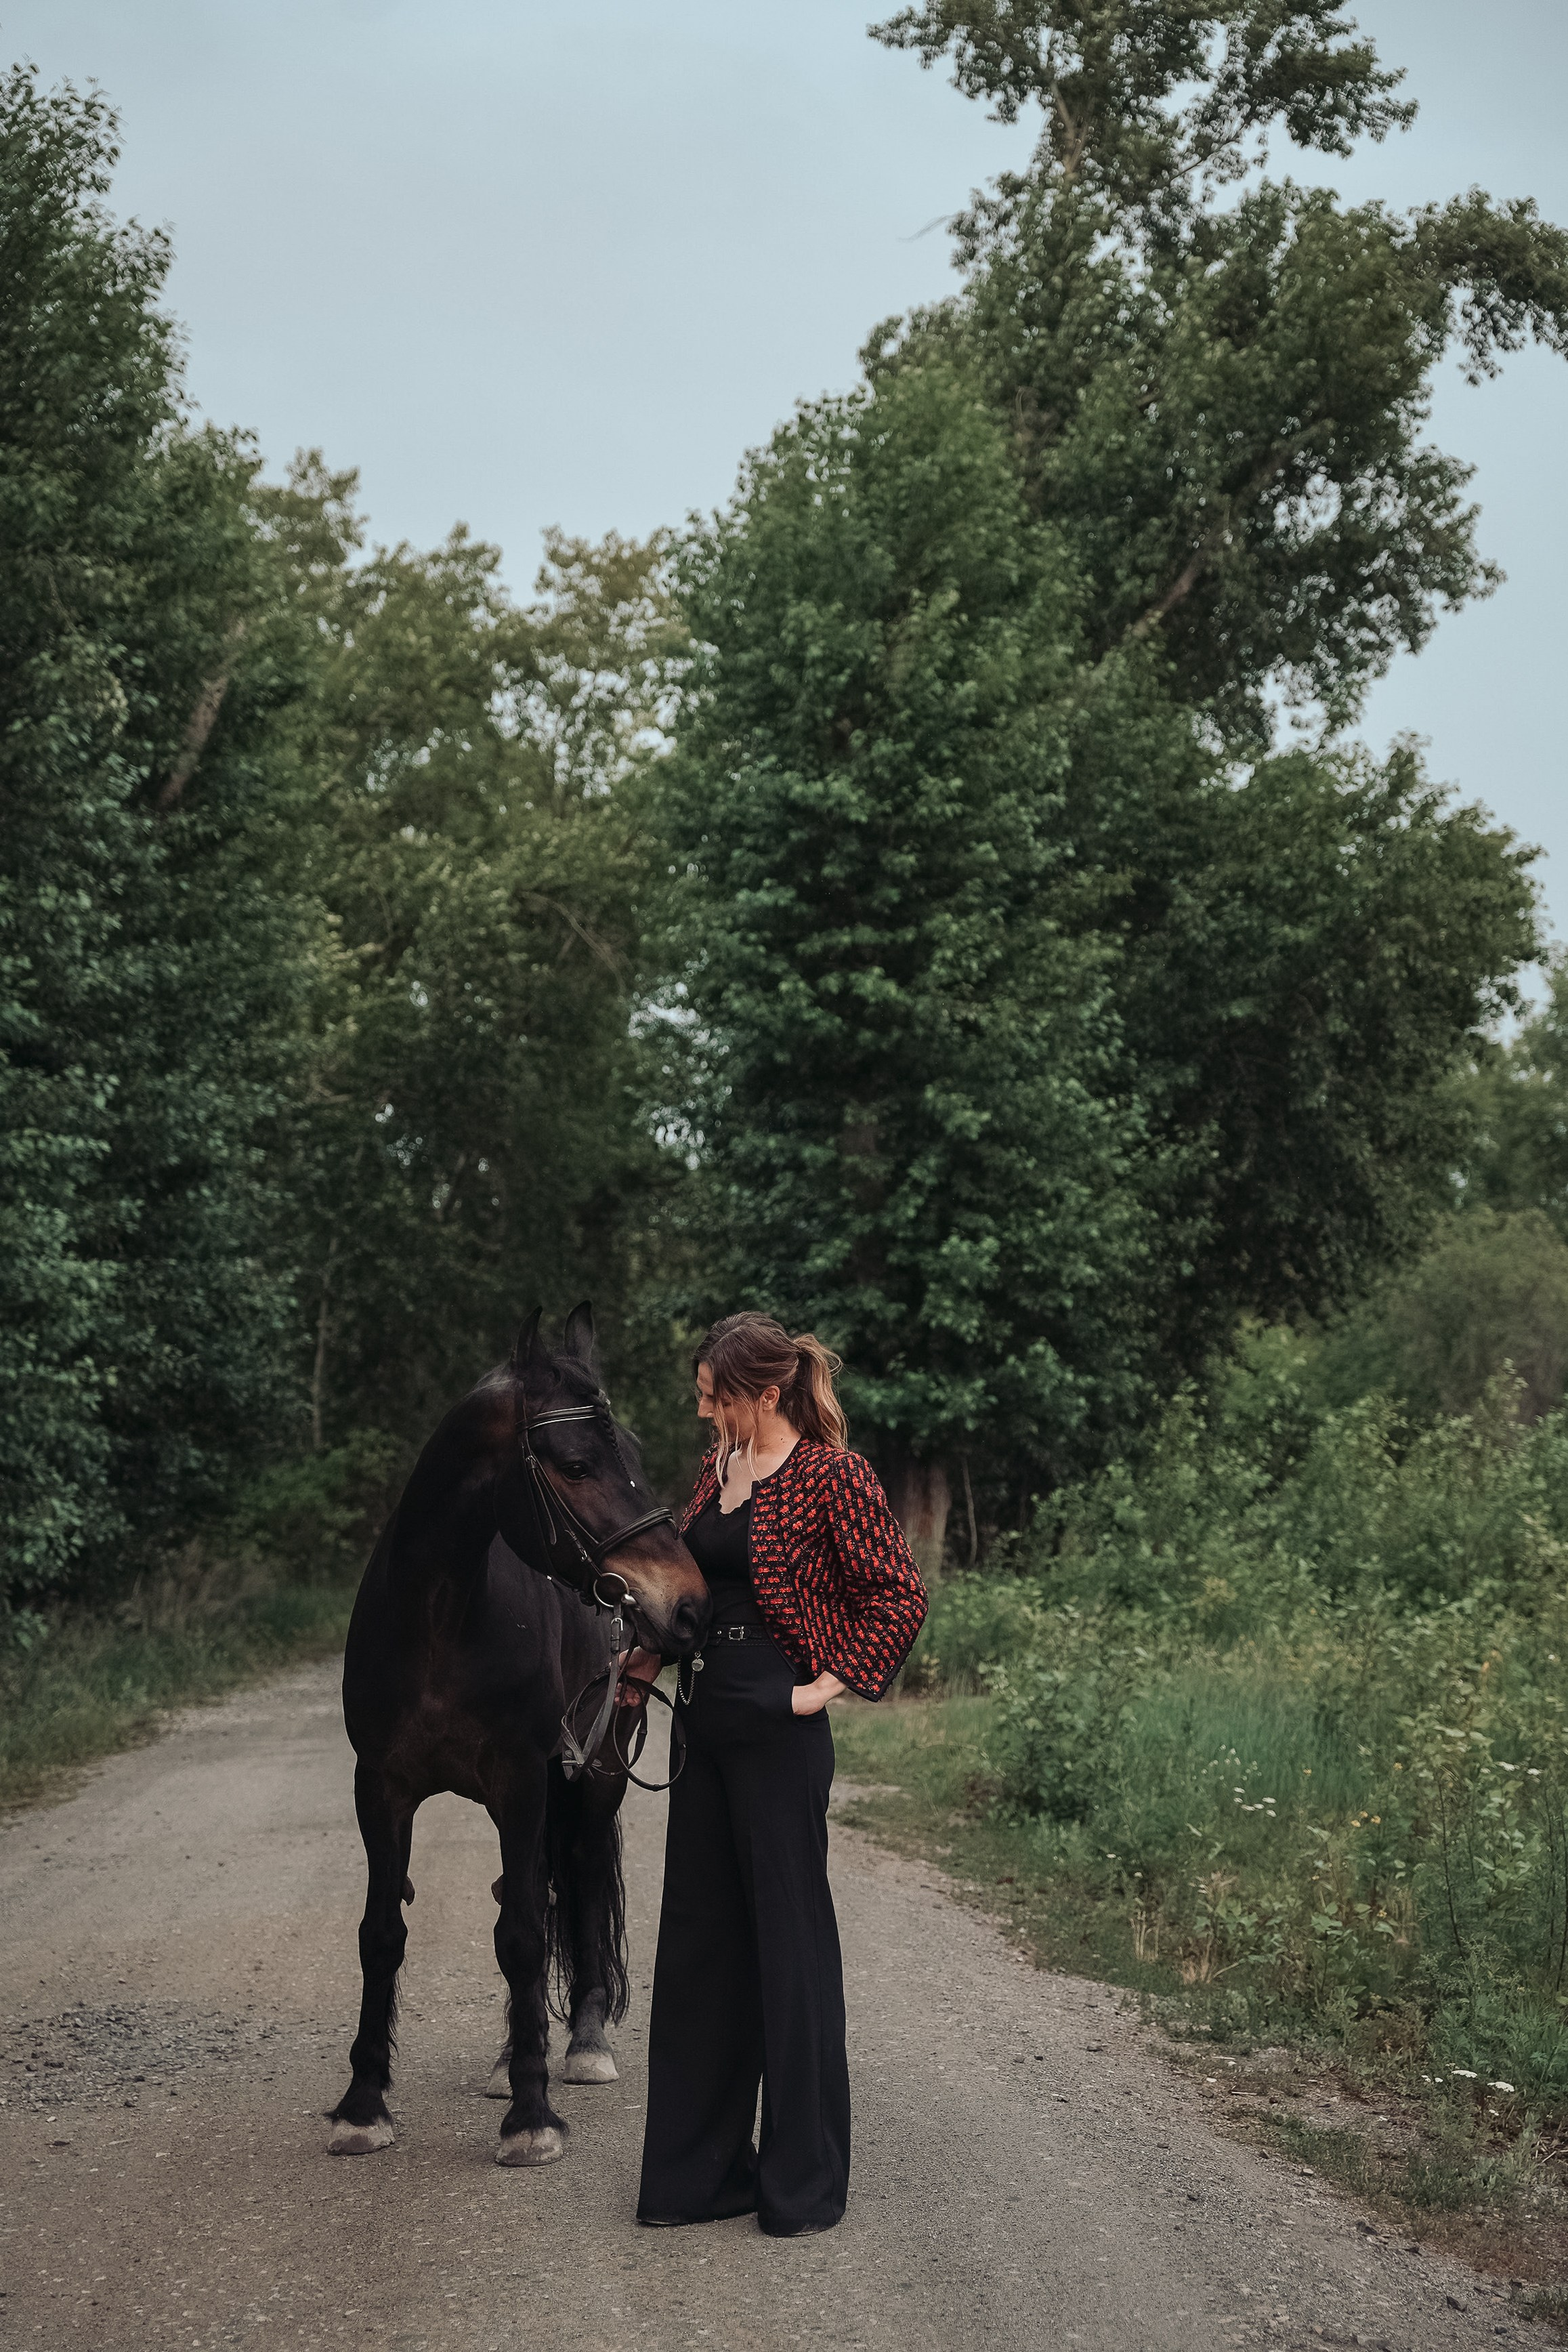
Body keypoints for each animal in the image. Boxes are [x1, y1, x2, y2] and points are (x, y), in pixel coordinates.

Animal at [327, 1303, 710, 2166]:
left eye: (633, 1452)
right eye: (573, 1464)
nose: (686, 1604)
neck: (439, 1617)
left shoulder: (523, 1777)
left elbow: (528, 1936)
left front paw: (533, 2116)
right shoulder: (380, 1787)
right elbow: (381, 1932)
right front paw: (363, 2104)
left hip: (593, 1777)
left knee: (575, 1883)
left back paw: (581, 2044)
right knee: (528, 1888)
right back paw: (510, 2056)